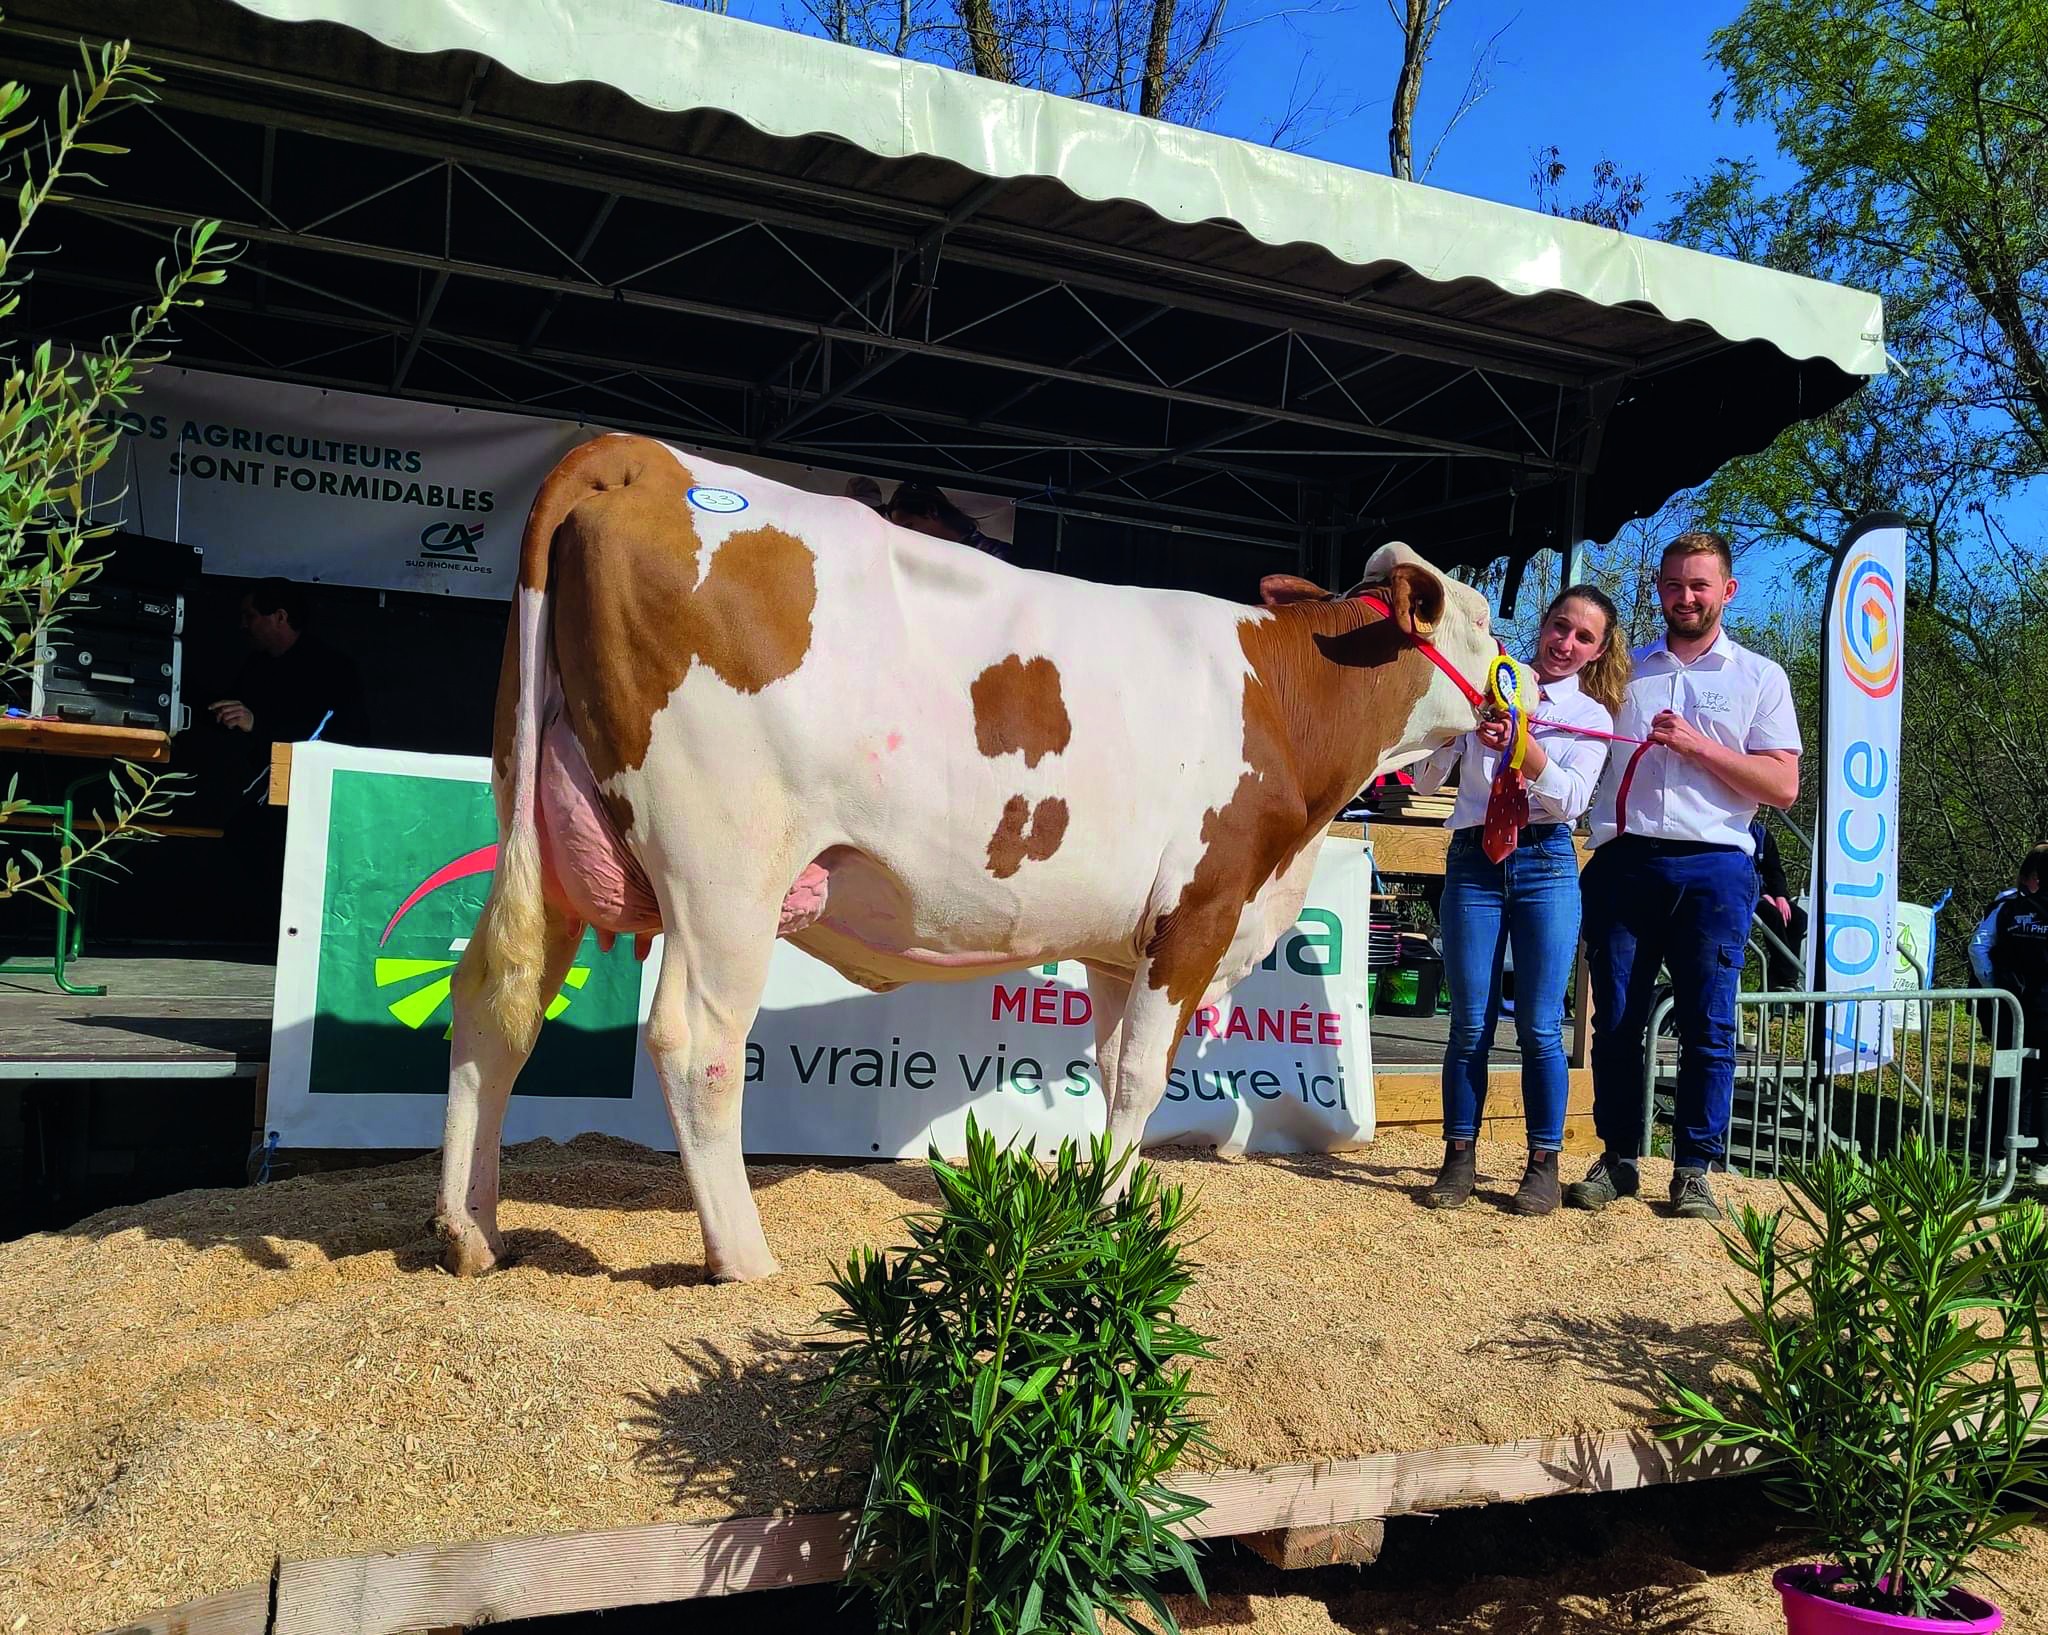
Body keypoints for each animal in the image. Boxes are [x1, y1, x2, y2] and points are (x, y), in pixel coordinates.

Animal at [432, 442, 1499, 1286]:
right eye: (1486, 619)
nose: (1519, 683)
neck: (1277, 694)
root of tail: (642, 456)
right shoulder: (1201, 905)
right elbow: (1144, 1075)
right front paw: (1113, 1219)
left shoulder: (1120, 942)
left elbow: (1109, 1066)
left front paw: (1097, 1202)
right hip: (724, 863)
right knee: (698, 1040)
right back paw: (743, 1255)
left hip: (539, 808)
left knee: (494, 997)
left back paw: (471, 1230)